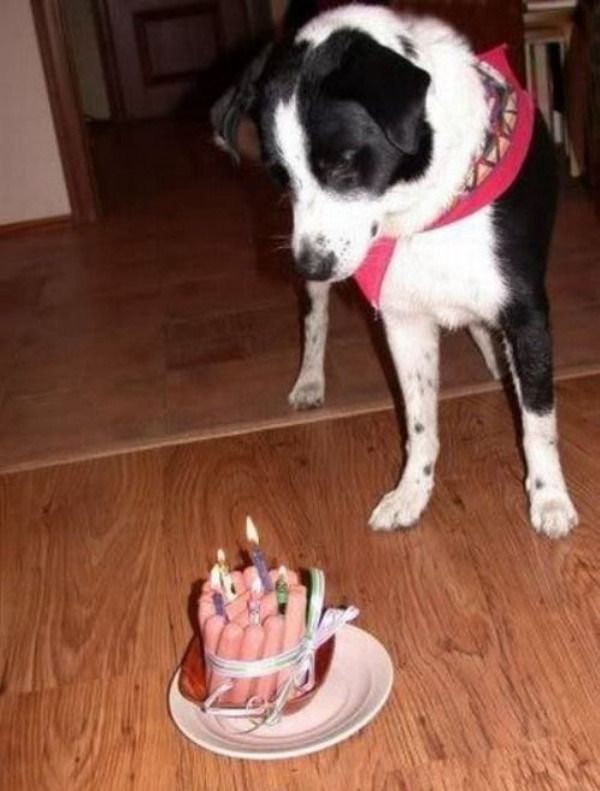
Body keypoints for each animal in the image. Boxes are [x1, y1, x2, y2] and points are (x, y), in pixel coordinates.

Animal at [223, 4, 580, 540]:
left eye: (344, 163)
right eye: (281, 177)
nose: (308, 263)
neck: (426, 211)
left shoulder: (525, 311)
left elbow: (538, 419)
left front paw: (550, 498)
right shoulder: (404, 320)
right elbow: (418, 423)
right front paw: (411, 493)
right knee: (315, 321)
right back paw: (309, 381)